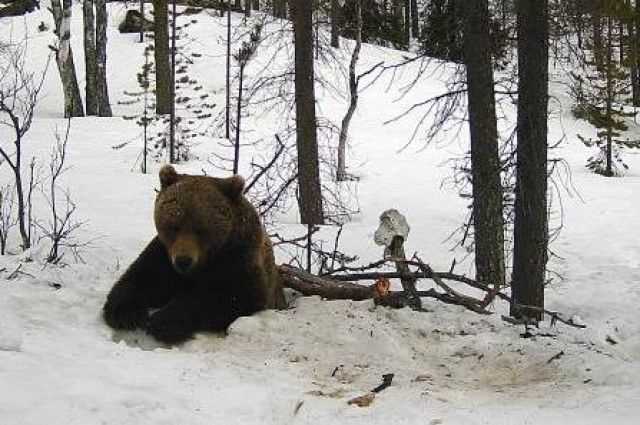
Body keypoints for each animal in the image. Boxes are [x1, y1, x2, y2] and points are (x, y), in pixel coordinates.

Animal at [103, 164, 288, 342]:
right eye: (174, 226)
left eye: (201, 229)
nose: (183, 260)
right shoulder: (163, 255)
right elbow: (142, 278)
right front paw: (125, 313)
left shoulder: (239, 259)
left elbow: (231, 296)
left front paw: (163, 321)